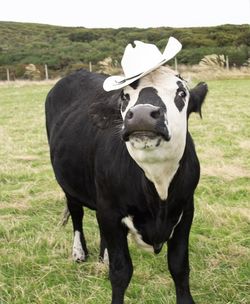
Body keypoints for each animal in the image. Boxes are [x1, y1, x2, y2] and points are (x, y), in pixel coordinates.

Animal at [44, 65, 207, 302]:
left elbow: (179, 267)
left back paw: (104, 256)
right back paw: (79, 252)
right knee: (76, 214)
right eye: (124, 96)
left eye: (181, 93)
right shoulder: (111, 212)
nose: (141, 115)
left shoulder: (185, 210)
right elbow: (121, 272)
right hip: (69, 183)